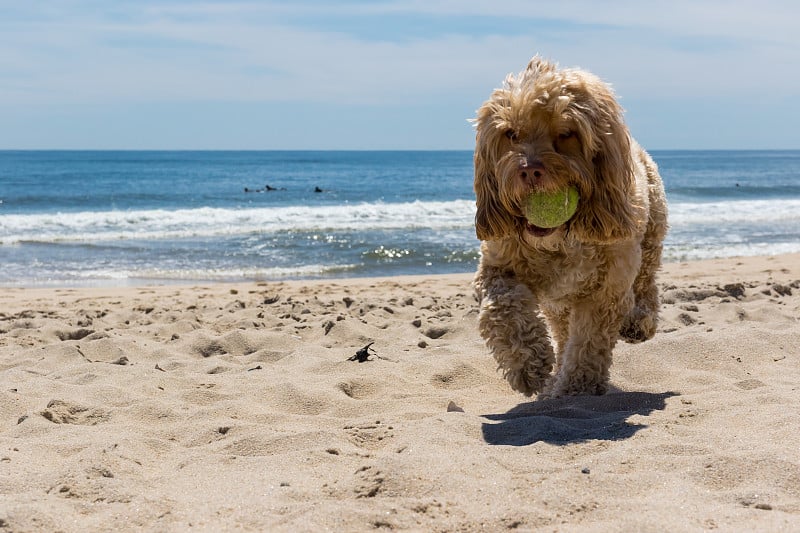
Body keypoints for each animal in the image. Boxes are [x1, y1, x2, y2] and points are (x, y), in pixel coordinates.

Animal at [472, 57, 664, 400]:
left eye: (566, 133)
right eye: (511, 133)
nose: (529, 171)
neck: (559, 240)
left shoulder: (604, 293)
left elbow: (588, 344)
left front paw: (577, 388)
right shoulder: (497, 268)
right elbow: (502, 310)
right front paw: (528, 367)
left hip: (650, 235)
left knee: (647, 282)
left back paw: (639, 321)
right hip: (558, 304)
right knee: (562, 332)